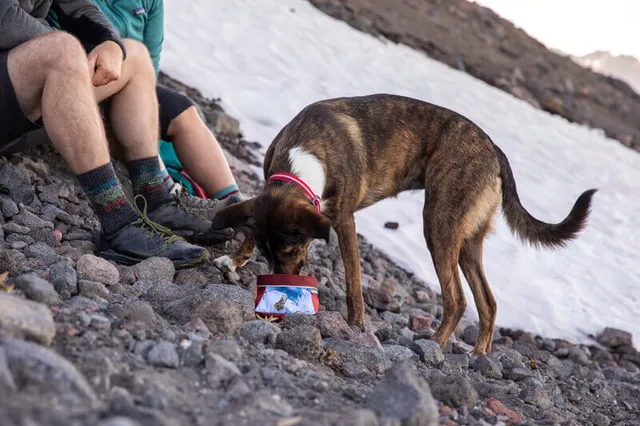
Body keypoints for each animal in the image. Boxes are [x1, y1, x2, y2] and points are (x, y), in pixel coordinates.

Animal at [210, 94, 596, 356]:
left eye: (292, 250)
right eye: (268, 253)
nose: (283, 286)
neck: (303, 157)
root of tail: (495, 150)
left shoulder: (344, 221)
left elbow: (354, 284)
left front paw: (356, 326)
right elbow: (250, 226)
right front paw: (234, 259)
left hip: (438, 224)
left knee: (457, 300)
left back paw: (434, 346)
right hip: (468, 240)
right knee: (488, 302)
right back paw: (477, 355)